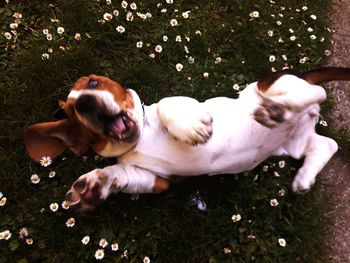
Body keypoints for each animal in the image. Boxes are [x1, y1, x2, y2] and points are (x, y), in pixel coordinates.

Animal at [23, 67, 350, 211]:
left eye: (93, 83)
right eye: (74, 111)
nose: (85, 103)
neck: (139, 140)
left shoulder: (185, 104)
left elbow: (167, 103)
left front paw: (190, 126)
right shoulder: (155, 179)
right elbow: (120, 173)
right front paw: (94, 184)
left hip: (270, 86)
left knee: (316, 93)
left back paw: (279, 109)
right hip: (294, 144)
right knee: (327, 143)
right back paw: (304, 177)